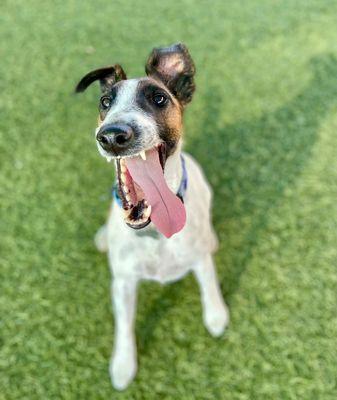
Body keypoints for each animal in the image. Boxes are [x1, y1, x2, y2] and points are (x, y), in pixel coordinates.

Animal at [75, 43, 228, 390]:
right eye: (105, 102)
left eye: (159, 98)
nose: (113, 135)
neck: (157, 232)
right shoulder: (123, 282)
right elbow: (124, 325)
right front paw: (123, 364)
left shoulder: (199, 260)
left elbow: (209, 284)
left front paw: (216, 315)